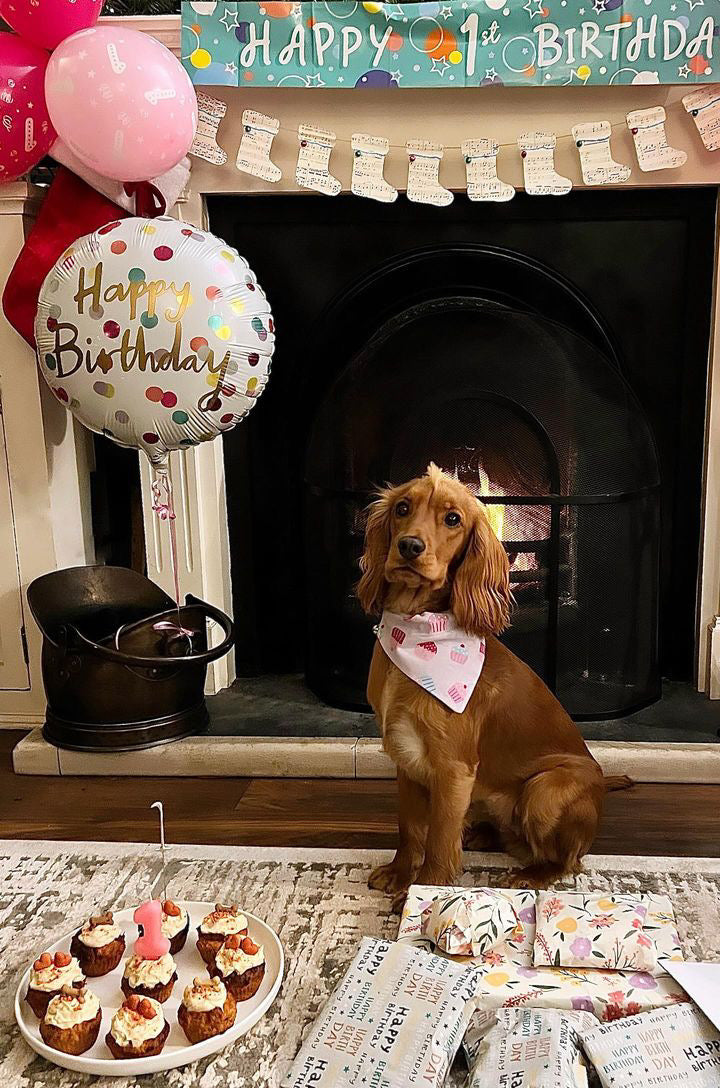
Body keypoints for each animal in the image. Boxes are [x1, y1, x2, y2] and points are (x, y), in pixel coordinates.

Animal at [356, 463, 630, 913]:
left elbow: (438, 840)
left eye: (453, 519)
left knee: (567, 859)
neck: (415, 633)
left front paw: (423, 893)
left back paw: (531, 874)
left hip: (545, 789)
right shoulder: (405, 757)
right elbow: (410, 827)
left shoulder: (452, 768)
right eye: (402, 508)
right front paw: (399, 874)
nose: (409, 546)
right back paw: (481, 833)